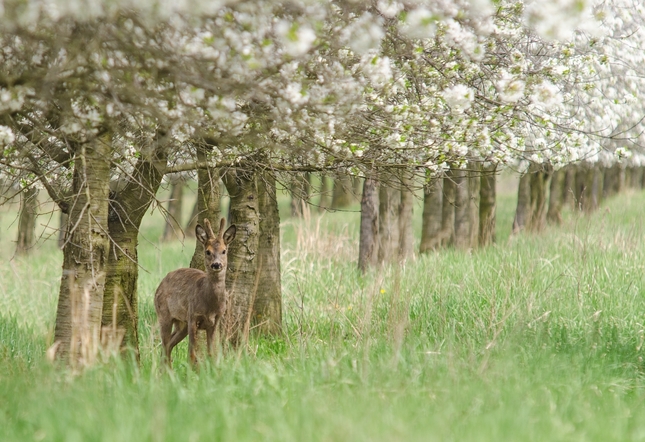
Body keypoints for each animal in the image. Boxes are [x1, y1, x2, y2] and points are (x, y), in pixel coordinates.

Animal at [154, 216, 236, 364]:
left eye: (224, 251)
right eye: (207, 251)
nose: (216, 264)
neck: (210, 305)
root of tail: (160, 284)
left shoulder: (215, 321)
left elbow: (211, 353)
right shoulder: (193, 316)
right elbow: (191, 354)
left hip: (181, 323)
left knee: (168, 345)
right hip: (164, 314)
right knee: (164, 345)